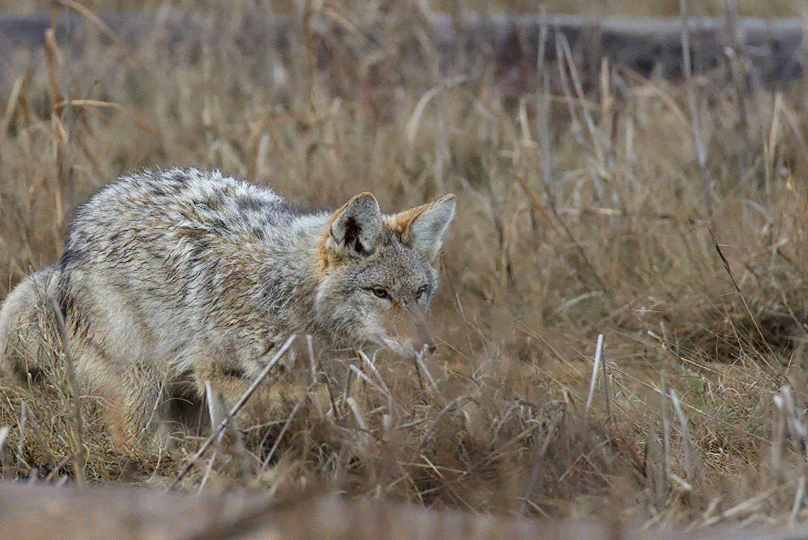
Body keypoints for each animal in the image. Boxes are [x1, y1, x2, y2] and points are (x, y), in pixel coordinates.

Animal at [0, 168, 456, 446]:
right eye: (380, 293)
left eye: (419, 294)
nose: (427, 347)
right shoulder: (219, 372)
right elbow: (288, 401)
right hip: (144, 378)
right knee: (135, 441)